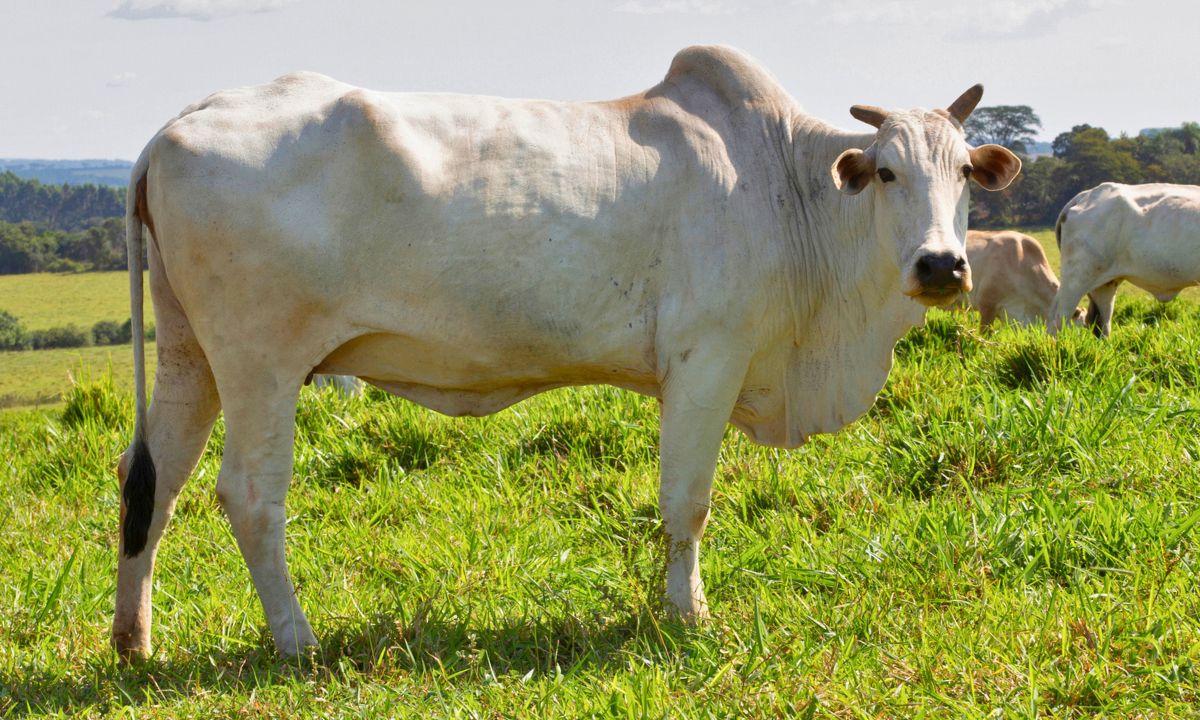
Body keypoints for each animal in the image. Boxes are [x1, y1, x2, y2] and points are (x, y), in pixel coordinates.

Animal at [112, 42, 1017, 657]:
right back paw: (296, 639)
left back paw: (134, 640)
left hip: (192, 358)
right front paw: (689, 615)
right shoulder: (707, 358)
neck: (789, 184)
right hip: (259, 365)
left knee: (151, 482)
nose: (943, 266)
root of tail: (176, 126)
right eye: (888, 172)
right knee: (247, 495)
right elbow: (687, 502)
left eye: (966, 175)